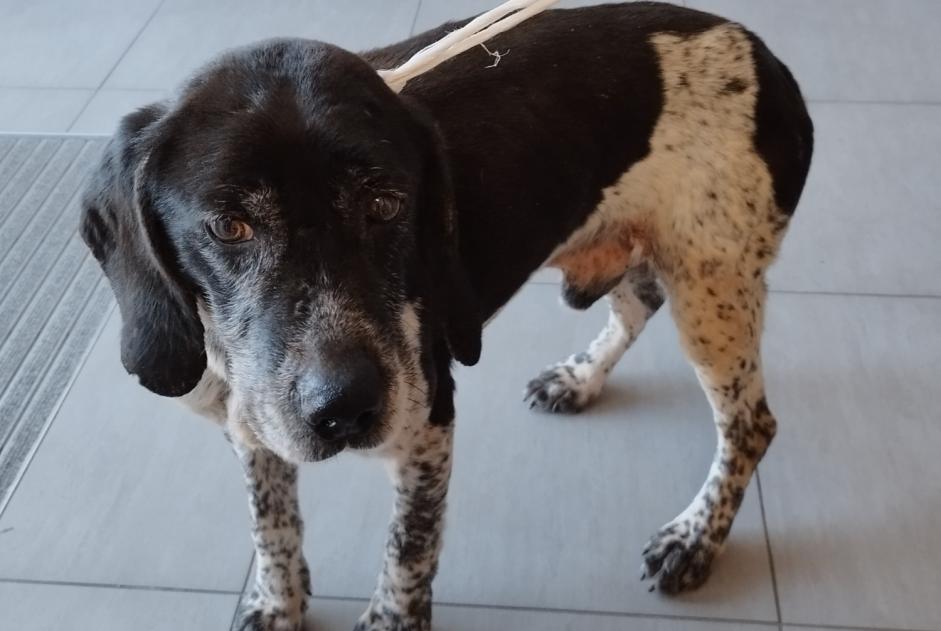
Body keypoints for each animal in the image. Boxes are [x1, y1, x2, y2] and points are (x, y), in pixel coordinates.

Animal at [79, 2, 816, 628]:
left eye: (386, 204)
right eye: (228, 225)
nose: (345, 407)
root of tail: (760, 53)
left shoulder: (426, 422)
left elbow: (409, 547)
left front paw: (390, 617)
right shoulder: (249, 430)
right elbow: (273, 525)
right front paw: (278, 600)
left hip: (713, 289)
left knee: (751, 424)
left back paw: (696, 538)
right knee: (639, 303)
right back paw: (580, 378)